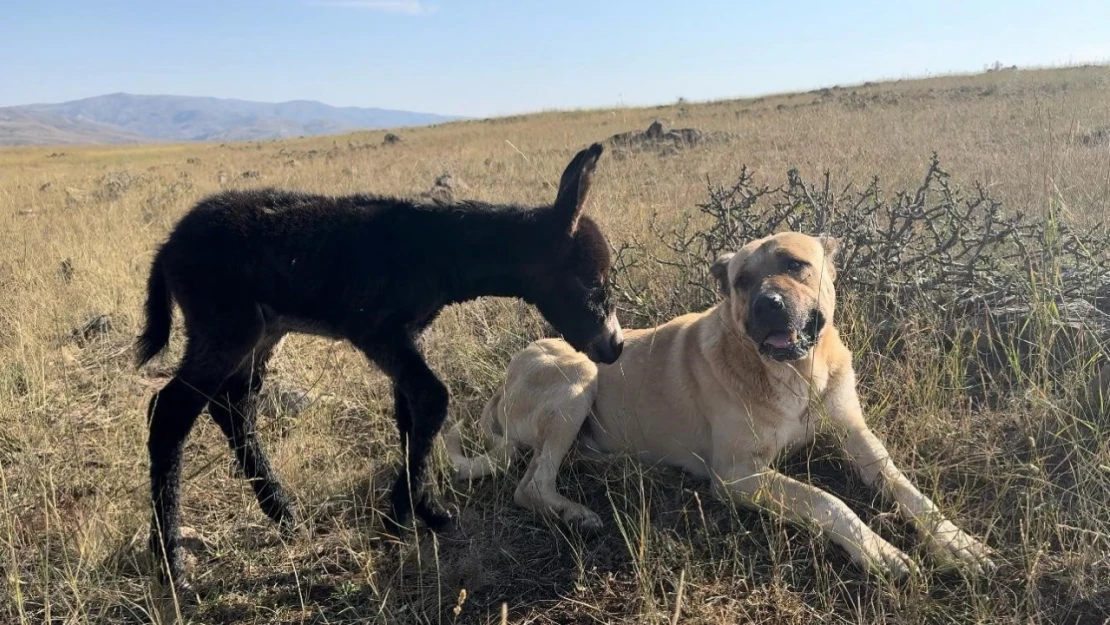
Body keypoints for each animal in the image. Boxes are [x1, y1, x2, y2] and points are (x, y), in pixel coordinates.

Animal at [136, 143, 626, 590]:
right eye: (592, 281)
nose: (615, 347)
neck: (440, 250)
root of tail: (167, 246)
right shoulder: (378, 333)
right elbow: (432, 399)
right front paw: (398, 519)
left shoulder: (407, 337)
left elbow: (410, 414)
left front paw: (427, 511)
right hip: (226, 329)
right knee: (169, 413)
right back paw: (171, 566)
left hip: (258, 335)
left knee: (233, 407)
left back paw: (282, 511)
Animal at [450, 232, 999, 581]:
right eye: (741, 281)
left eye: (795, 264)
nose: (767, 305)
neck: (796, 374)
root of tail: (501, 386)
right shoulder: (738, 475)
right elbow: (827, 501)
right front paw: (880, 552)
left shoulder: (856, 436)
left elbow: (906, 488)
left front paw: (956, 541)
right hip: (577, 376)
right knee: (529, 484)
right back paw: (575, 512)